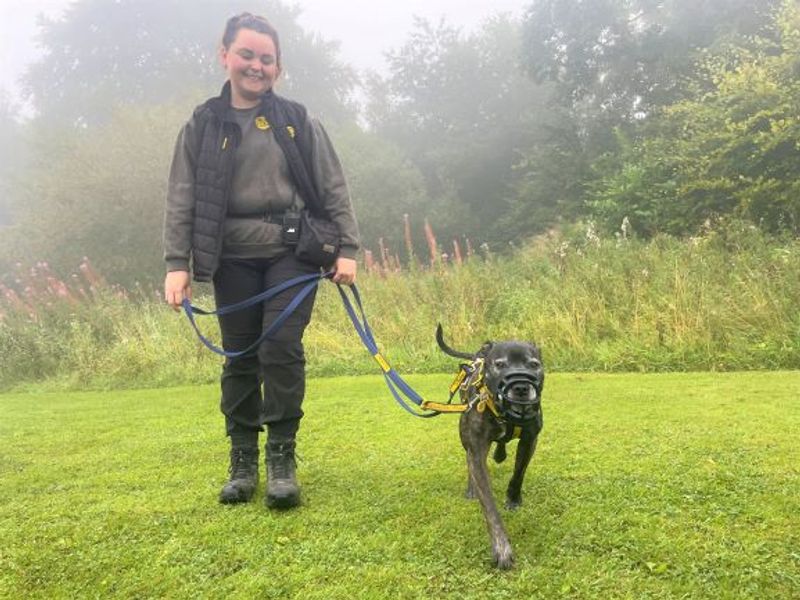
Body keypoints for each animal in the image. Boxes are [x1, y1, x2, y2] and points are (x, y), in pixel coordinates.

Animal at [438, 326, 544, 568]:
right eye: (500, 364)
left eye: (534, 364)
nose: (521, 386)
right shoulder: (477, 451)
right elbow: (489, 506)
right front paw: (501, 547)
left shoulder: (530, 439)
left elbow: (518, 473)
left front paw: (513, 499)